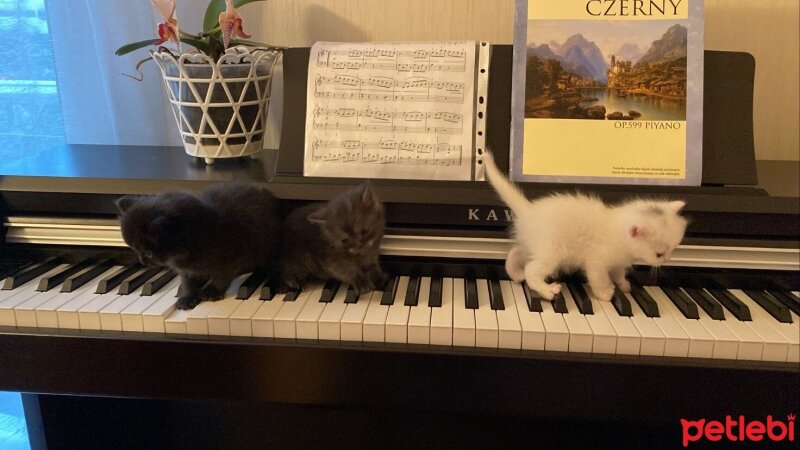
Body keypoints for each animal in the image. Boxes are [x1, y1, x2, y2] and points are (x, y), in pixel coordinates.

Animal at [115, 183, 282, 310]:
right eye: (135, 250)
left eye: (148, 252)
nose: (142, 262)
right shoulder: (188, 270)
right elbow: (188, 283)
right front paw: (186, 297)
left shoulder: (229, 259)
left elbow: (221, 277)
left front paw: (211, 292)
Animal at [482, 152, 688, 302]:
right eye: (659, 254)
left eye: (673, 249)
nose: (668, 260)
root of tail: (528, 210)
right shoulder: (596, 260)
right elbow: (599, 278)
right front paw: (606, 293)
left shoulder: (617, 262)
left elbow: (618, 273)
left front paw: (623, 285)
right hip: (552, 250)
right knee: (531, 269)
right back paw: (547, 290)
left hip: (534, 245)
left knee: (515, 253)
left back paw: (516, 274)